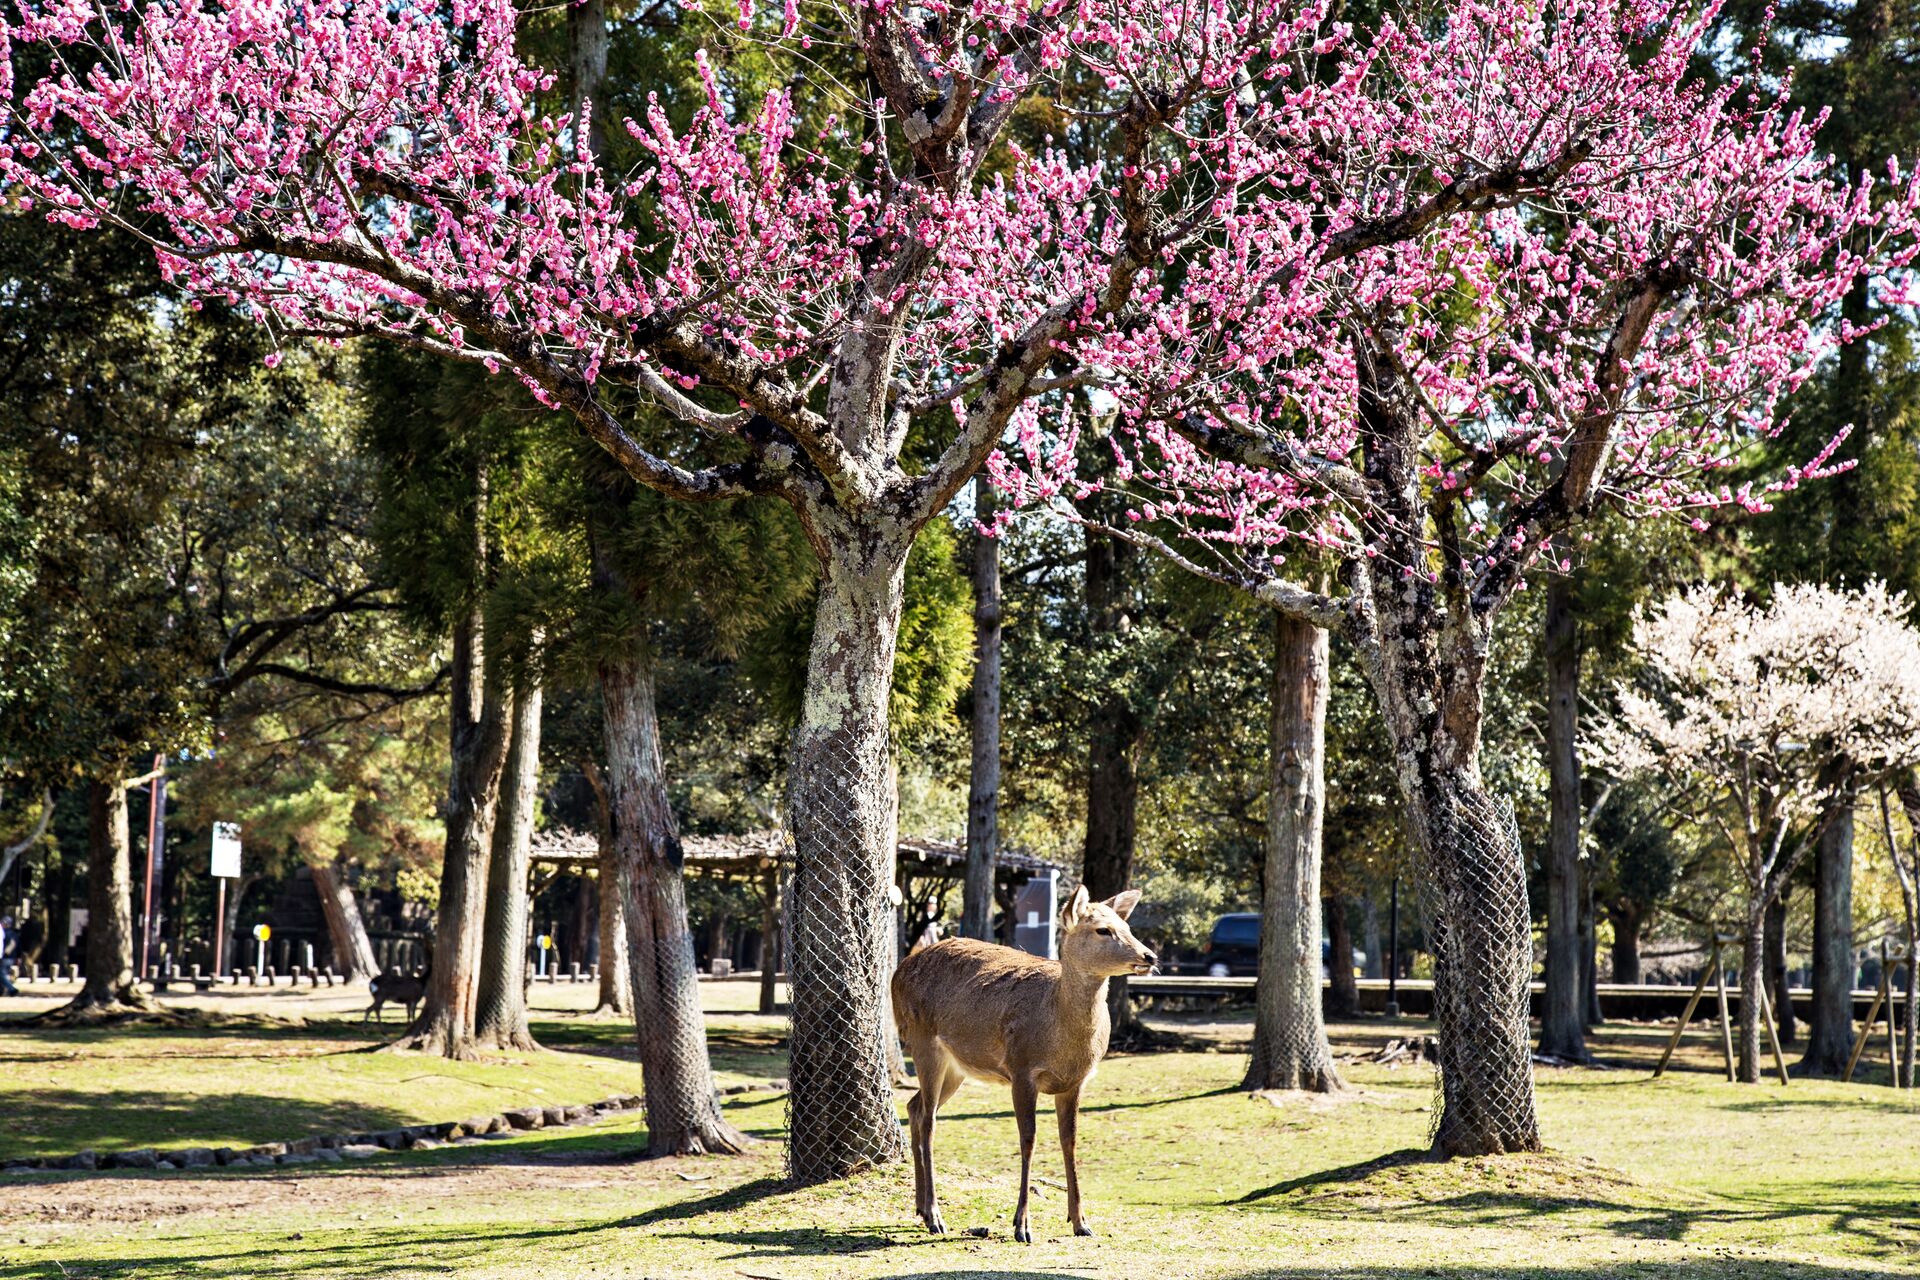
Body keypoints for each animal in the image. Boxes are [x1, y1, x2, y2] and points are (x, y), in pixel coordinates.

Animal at [890, 886, 1156, 1243]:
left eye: (1127, 926)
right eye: (1103, 929)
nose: (1149, 956)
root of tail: (898, 971)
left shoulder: (1076, 1081)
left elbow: (1070, 1141)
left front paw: (1081, 1222)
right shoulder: (1021, 1070)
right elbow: (1027, 1139)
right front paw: (1022, 1225)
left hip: (957, 1067)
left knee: (915, 1107)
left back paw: (920, 1208)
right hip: (923, 1039)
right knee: (929, 1119)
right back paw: (935, 1216)